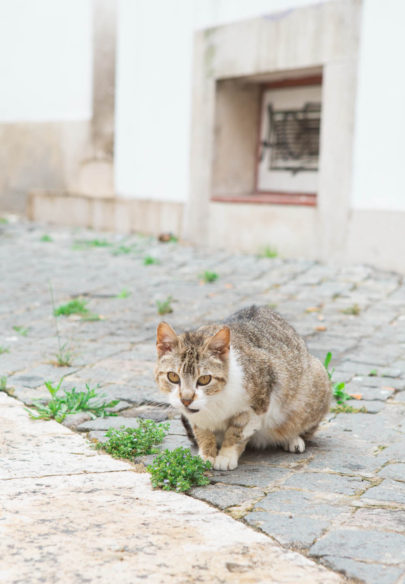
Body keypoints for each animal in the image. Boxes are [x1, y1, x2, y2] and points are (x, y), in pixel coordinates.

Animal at [153, 306, 330, 470]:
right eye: (173, 376)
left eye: (204, 379)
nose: (186, 399)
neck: (214, 401)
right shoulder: (194, 417)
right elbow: (202, 432)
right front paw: (206, 455)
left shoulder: (259, 402)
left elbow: (237, 432)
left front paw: (226, 456)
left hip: (317, 382)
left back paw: (293, 439)